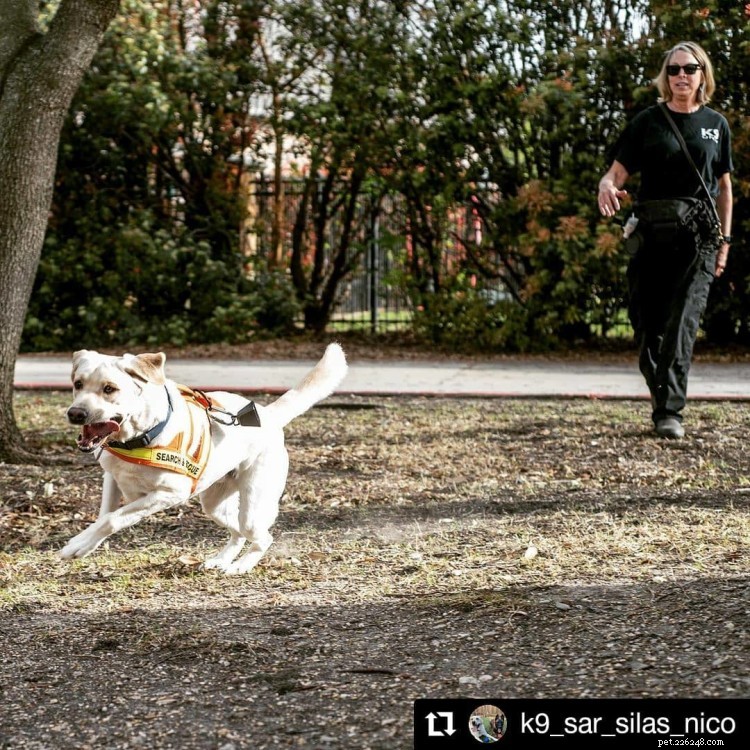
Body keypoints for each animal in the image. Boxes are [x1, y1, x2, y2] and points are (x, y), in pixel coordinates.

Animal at [61, 346, 350, 576]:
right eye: (78, 384)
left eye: (109, 388)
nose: (75, 413)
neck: (138, 437)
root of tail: (268, 414)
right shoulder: (112, 478)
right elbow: (104, 516)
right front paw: (84, 544)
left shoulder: (170, 493)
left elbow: (112, 519)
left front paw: (75, 544)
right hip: (214, 504)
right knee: (237, 533)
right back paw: (220, 560)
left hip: (253, 506)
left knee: (261, 537)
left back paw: (240, 566)